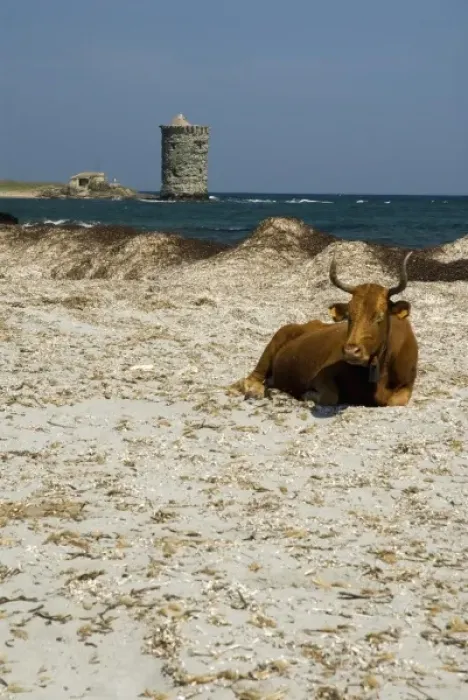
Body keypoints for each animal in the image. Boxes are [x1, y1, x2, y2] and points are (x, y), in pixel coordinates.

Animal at [230, 252, 418, 407]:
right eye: (349, 316)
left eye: (379, 317)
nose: (351, 351)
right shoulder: (321, 374)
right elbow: (330, 396)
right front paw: (306, 395)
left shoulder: (407, 384)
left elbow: (396, 401)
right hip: (276, 340)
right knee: (253, 378)